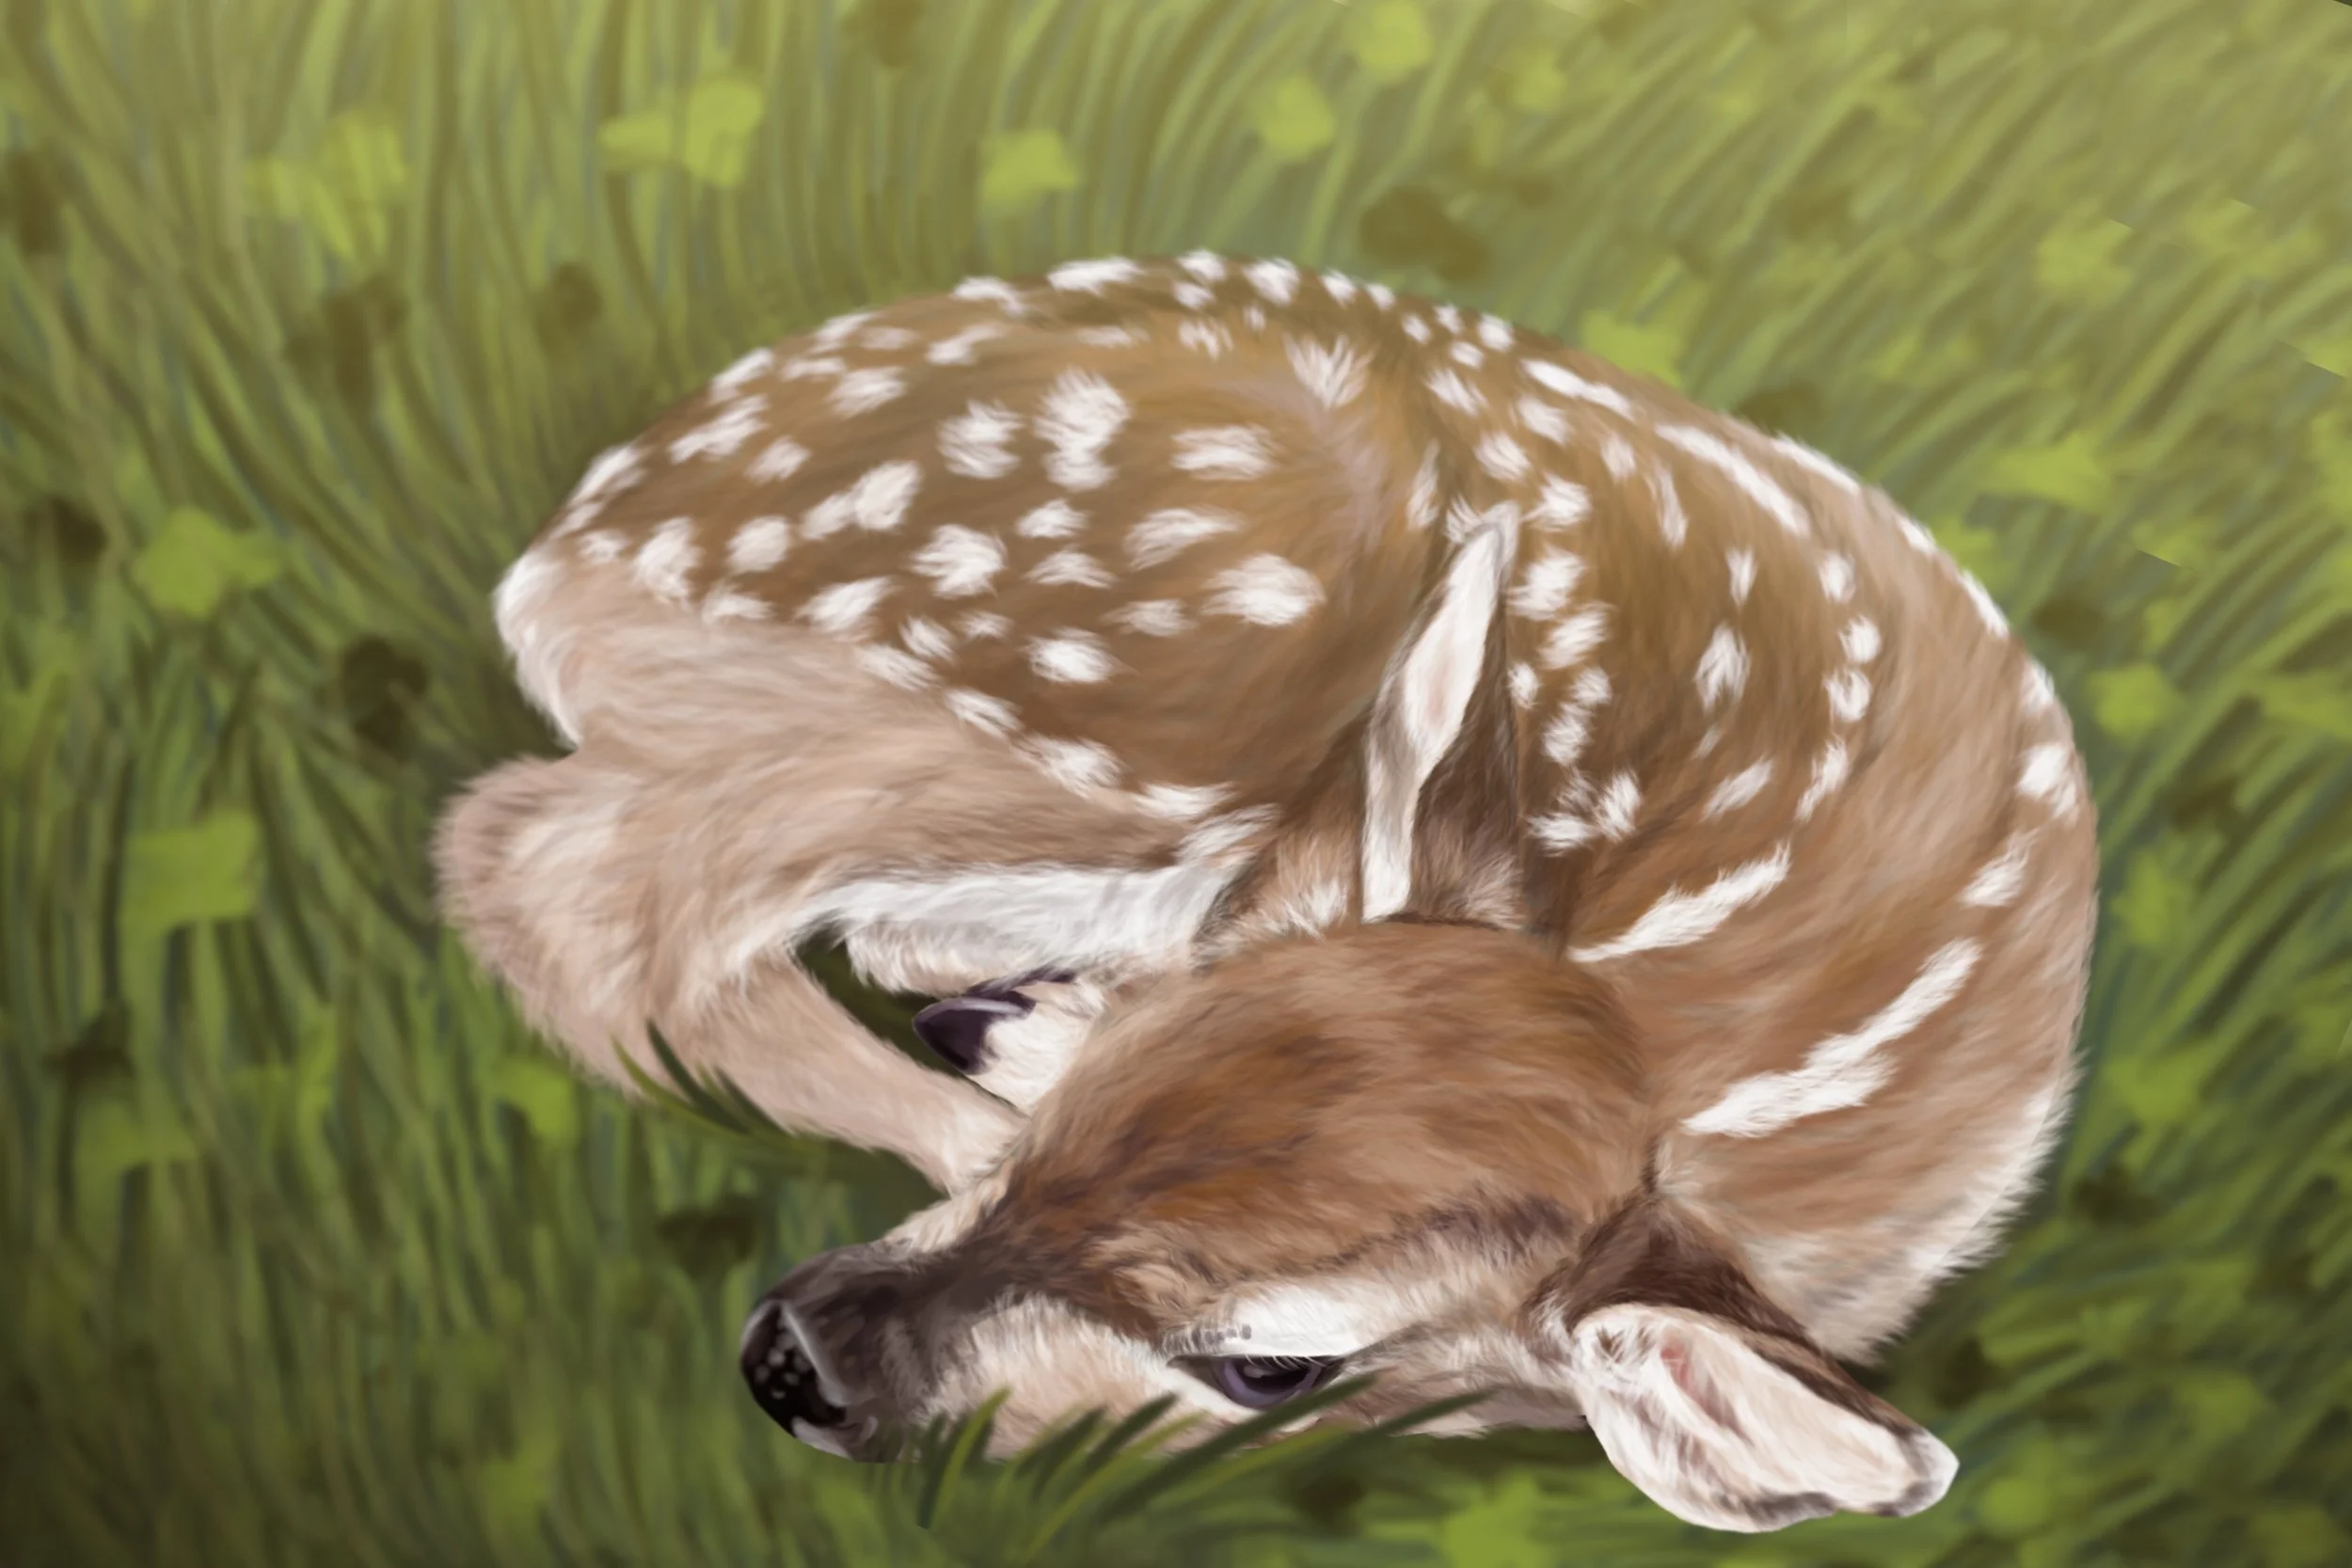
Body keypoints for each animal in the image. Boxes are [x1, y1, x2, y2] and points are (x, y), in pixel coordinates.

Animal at [433, 251, 2099, 1534]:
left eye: (1268, 1368)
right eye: (1062, 1127)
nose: (794, 1356)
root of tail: (576, 538)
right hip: (1190, 666)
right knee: (560, 873)